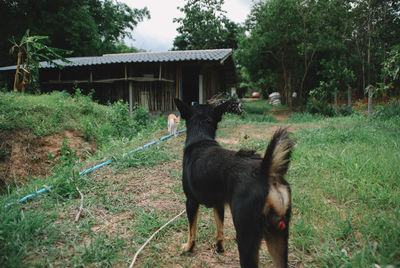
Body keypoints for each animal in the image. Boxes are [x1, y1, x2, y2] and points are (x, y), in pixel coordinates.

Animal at [175, 99, 294, 268]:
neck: (201, 139)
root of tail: (265, 172)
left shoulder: (191, 202)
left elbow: (192, 231)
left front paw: (188, 248)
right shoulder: (219, 204)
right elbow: (219, 230)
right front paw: (219, 248)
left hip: (246, 236)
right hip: (278, 236)